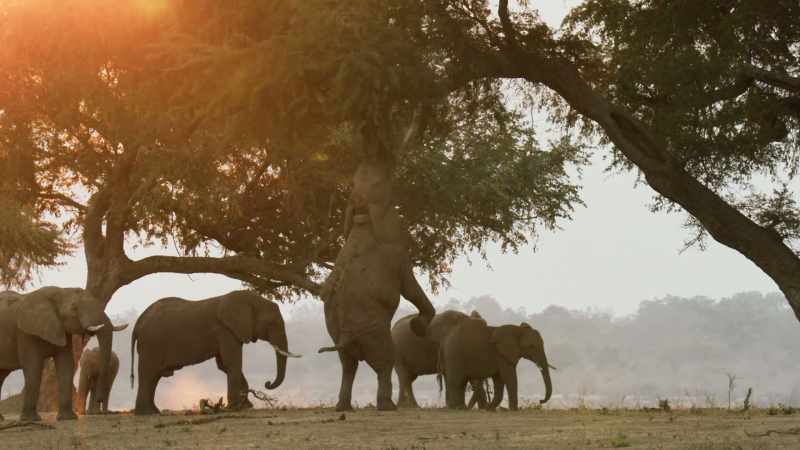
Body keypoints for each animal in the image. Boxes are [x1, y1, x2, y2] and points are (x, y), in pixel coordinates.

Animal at [0, 287, 125, 422]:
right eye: (74, 308)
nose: (99, 399)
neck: (60, 291)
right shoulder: (25, 332)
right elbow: (33, 367)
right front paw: (31, 419)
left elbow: (66, 365)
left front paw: (68, 418)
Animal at [130, 290, 299, 415]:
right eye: (272, 323)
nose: (267, 383)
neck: (247, 299)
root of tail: (138, 323)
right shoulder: (224, 330)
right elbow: (232, 363)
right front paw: (235, 408)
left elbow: (224, 365)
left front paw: (245, 406)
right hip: (151, 344)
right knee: (149, 375)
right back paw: (147, 413)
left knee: (153, 377)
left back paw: (153, 411)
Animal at [319, 158, 435, 412]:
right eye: (389, 196)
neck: (362, 222)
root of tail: (347, 335)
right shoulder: (398, 257)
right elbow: (411, 289)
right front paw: (419, 326)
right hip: (376, 334)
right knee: (384, 363)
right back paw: (387, 406)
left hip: (337, 334)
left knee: (348, 366)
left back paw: (343, 407)